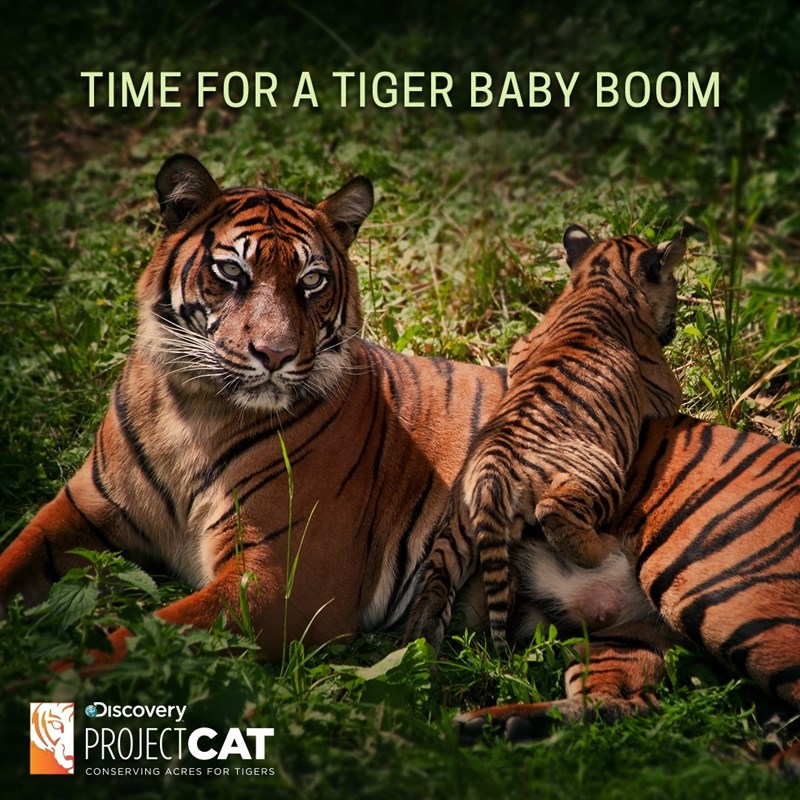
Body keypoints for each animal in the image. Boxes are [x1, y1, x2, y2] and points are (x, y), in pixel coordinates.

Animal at [0, 153, 508, 665]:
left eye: (312, 280)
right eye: (231, 271)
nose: (275, 353)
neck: (193, 411)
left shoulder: (281, 582)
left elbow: (142, 637)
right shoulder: (81, 510)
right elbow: (13, 559)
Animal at [403, 226, 686, 653]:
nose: (675, 325)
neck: (600, 278)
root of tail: (490, 472)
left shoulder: (522, 346)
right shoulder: (665, 390)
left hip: (457, 530)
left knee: (434, 586)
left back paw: (420, 650)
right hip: (599, 474)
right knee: (553, 514)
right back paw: (605, 549)